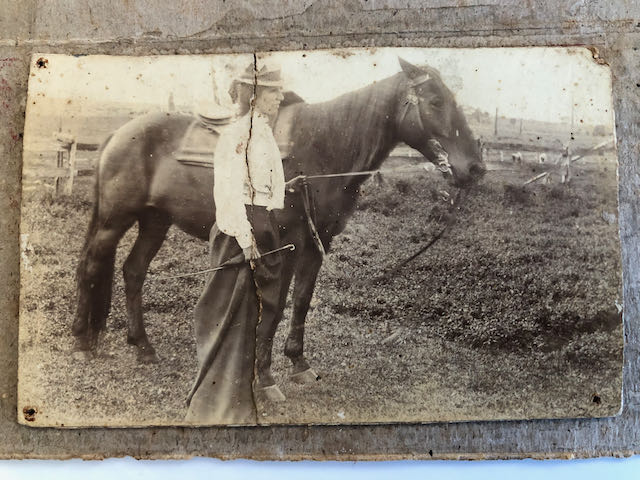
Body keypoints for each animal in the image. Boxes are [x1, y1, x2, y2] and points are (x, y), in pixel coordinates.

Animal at [72, 57, 485, 397]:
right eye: (435, 101)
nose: (475, 168)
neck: (319, 149)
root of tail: (119, 134)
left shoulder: (316, 244)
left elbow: (300, 301)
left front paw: (298, 363)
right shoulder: (283, 246)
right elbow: (273, 307)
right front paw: (265, 376)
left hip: (155, 221)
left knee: (133, 271)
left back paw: (142, 347)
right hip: (114, 221)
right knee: (92, 266)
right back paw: (81, 342)